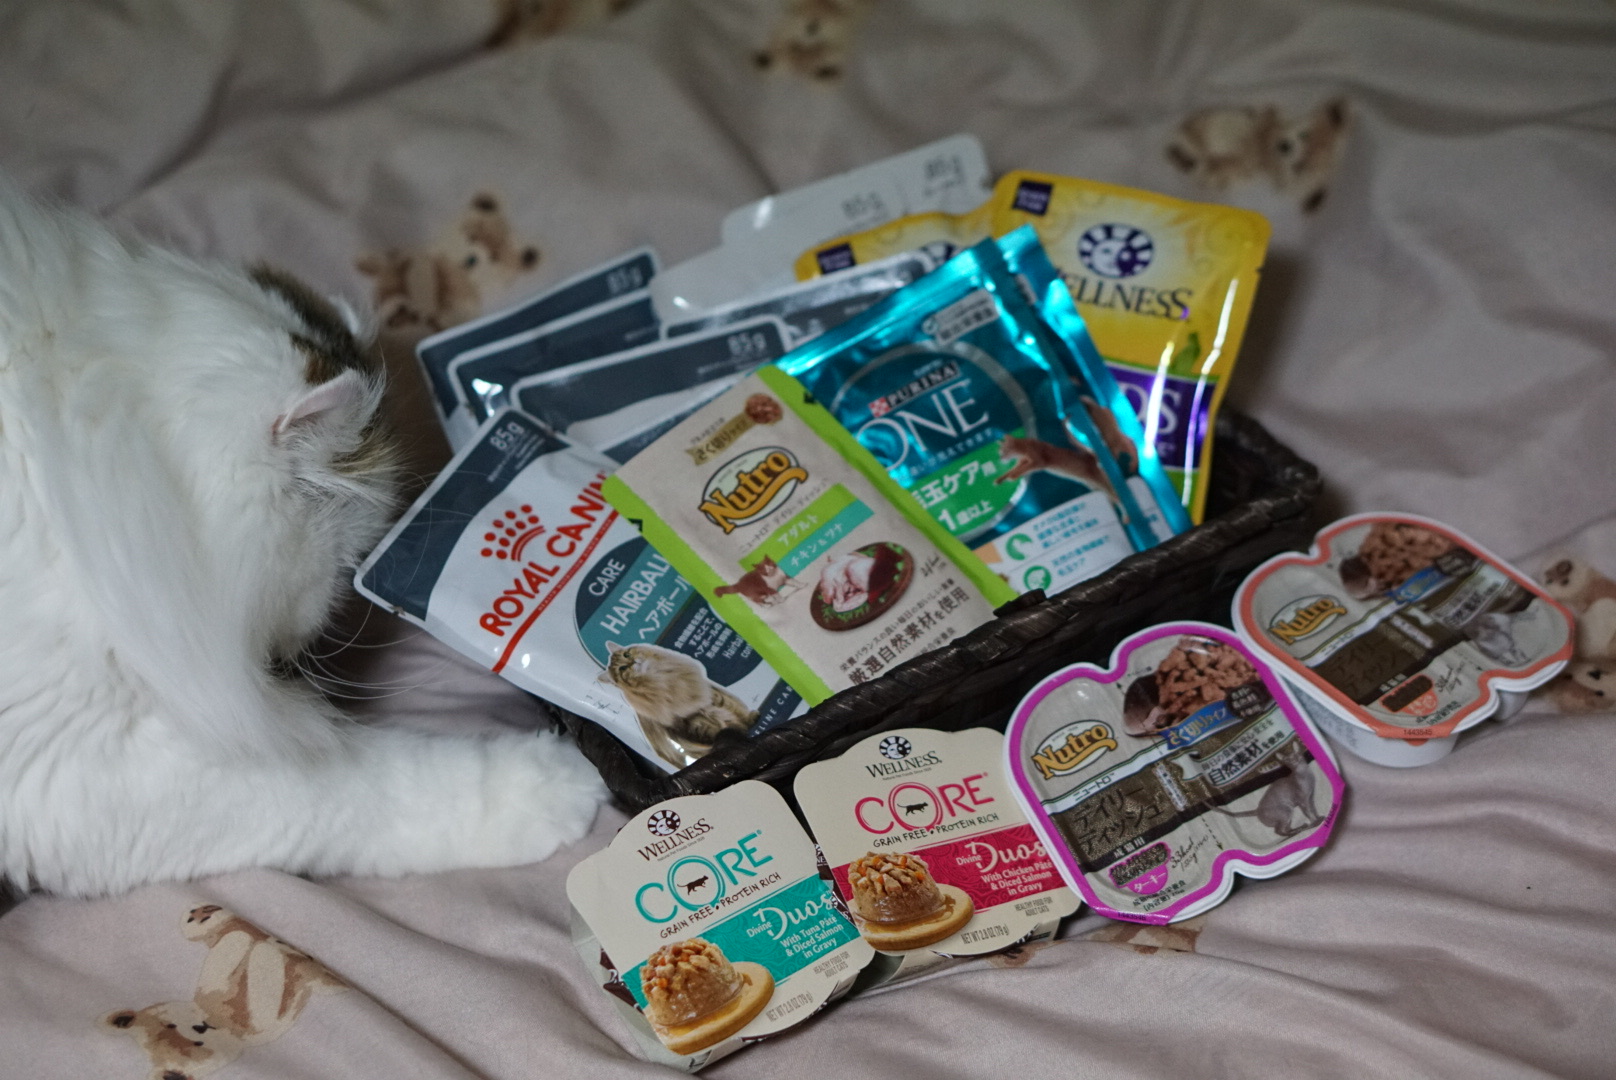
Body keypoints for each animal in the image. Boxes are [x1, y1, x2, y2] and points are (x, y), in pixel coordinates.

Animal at [596, 642, 756, 766]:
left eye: (627, 655)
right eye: (622, 669)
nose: (634, 661)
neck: (661, 677)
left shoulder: (710, 698)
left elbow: (735, 710)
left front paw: (751, 718)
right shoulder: (692, 722)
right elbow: (723, 729)